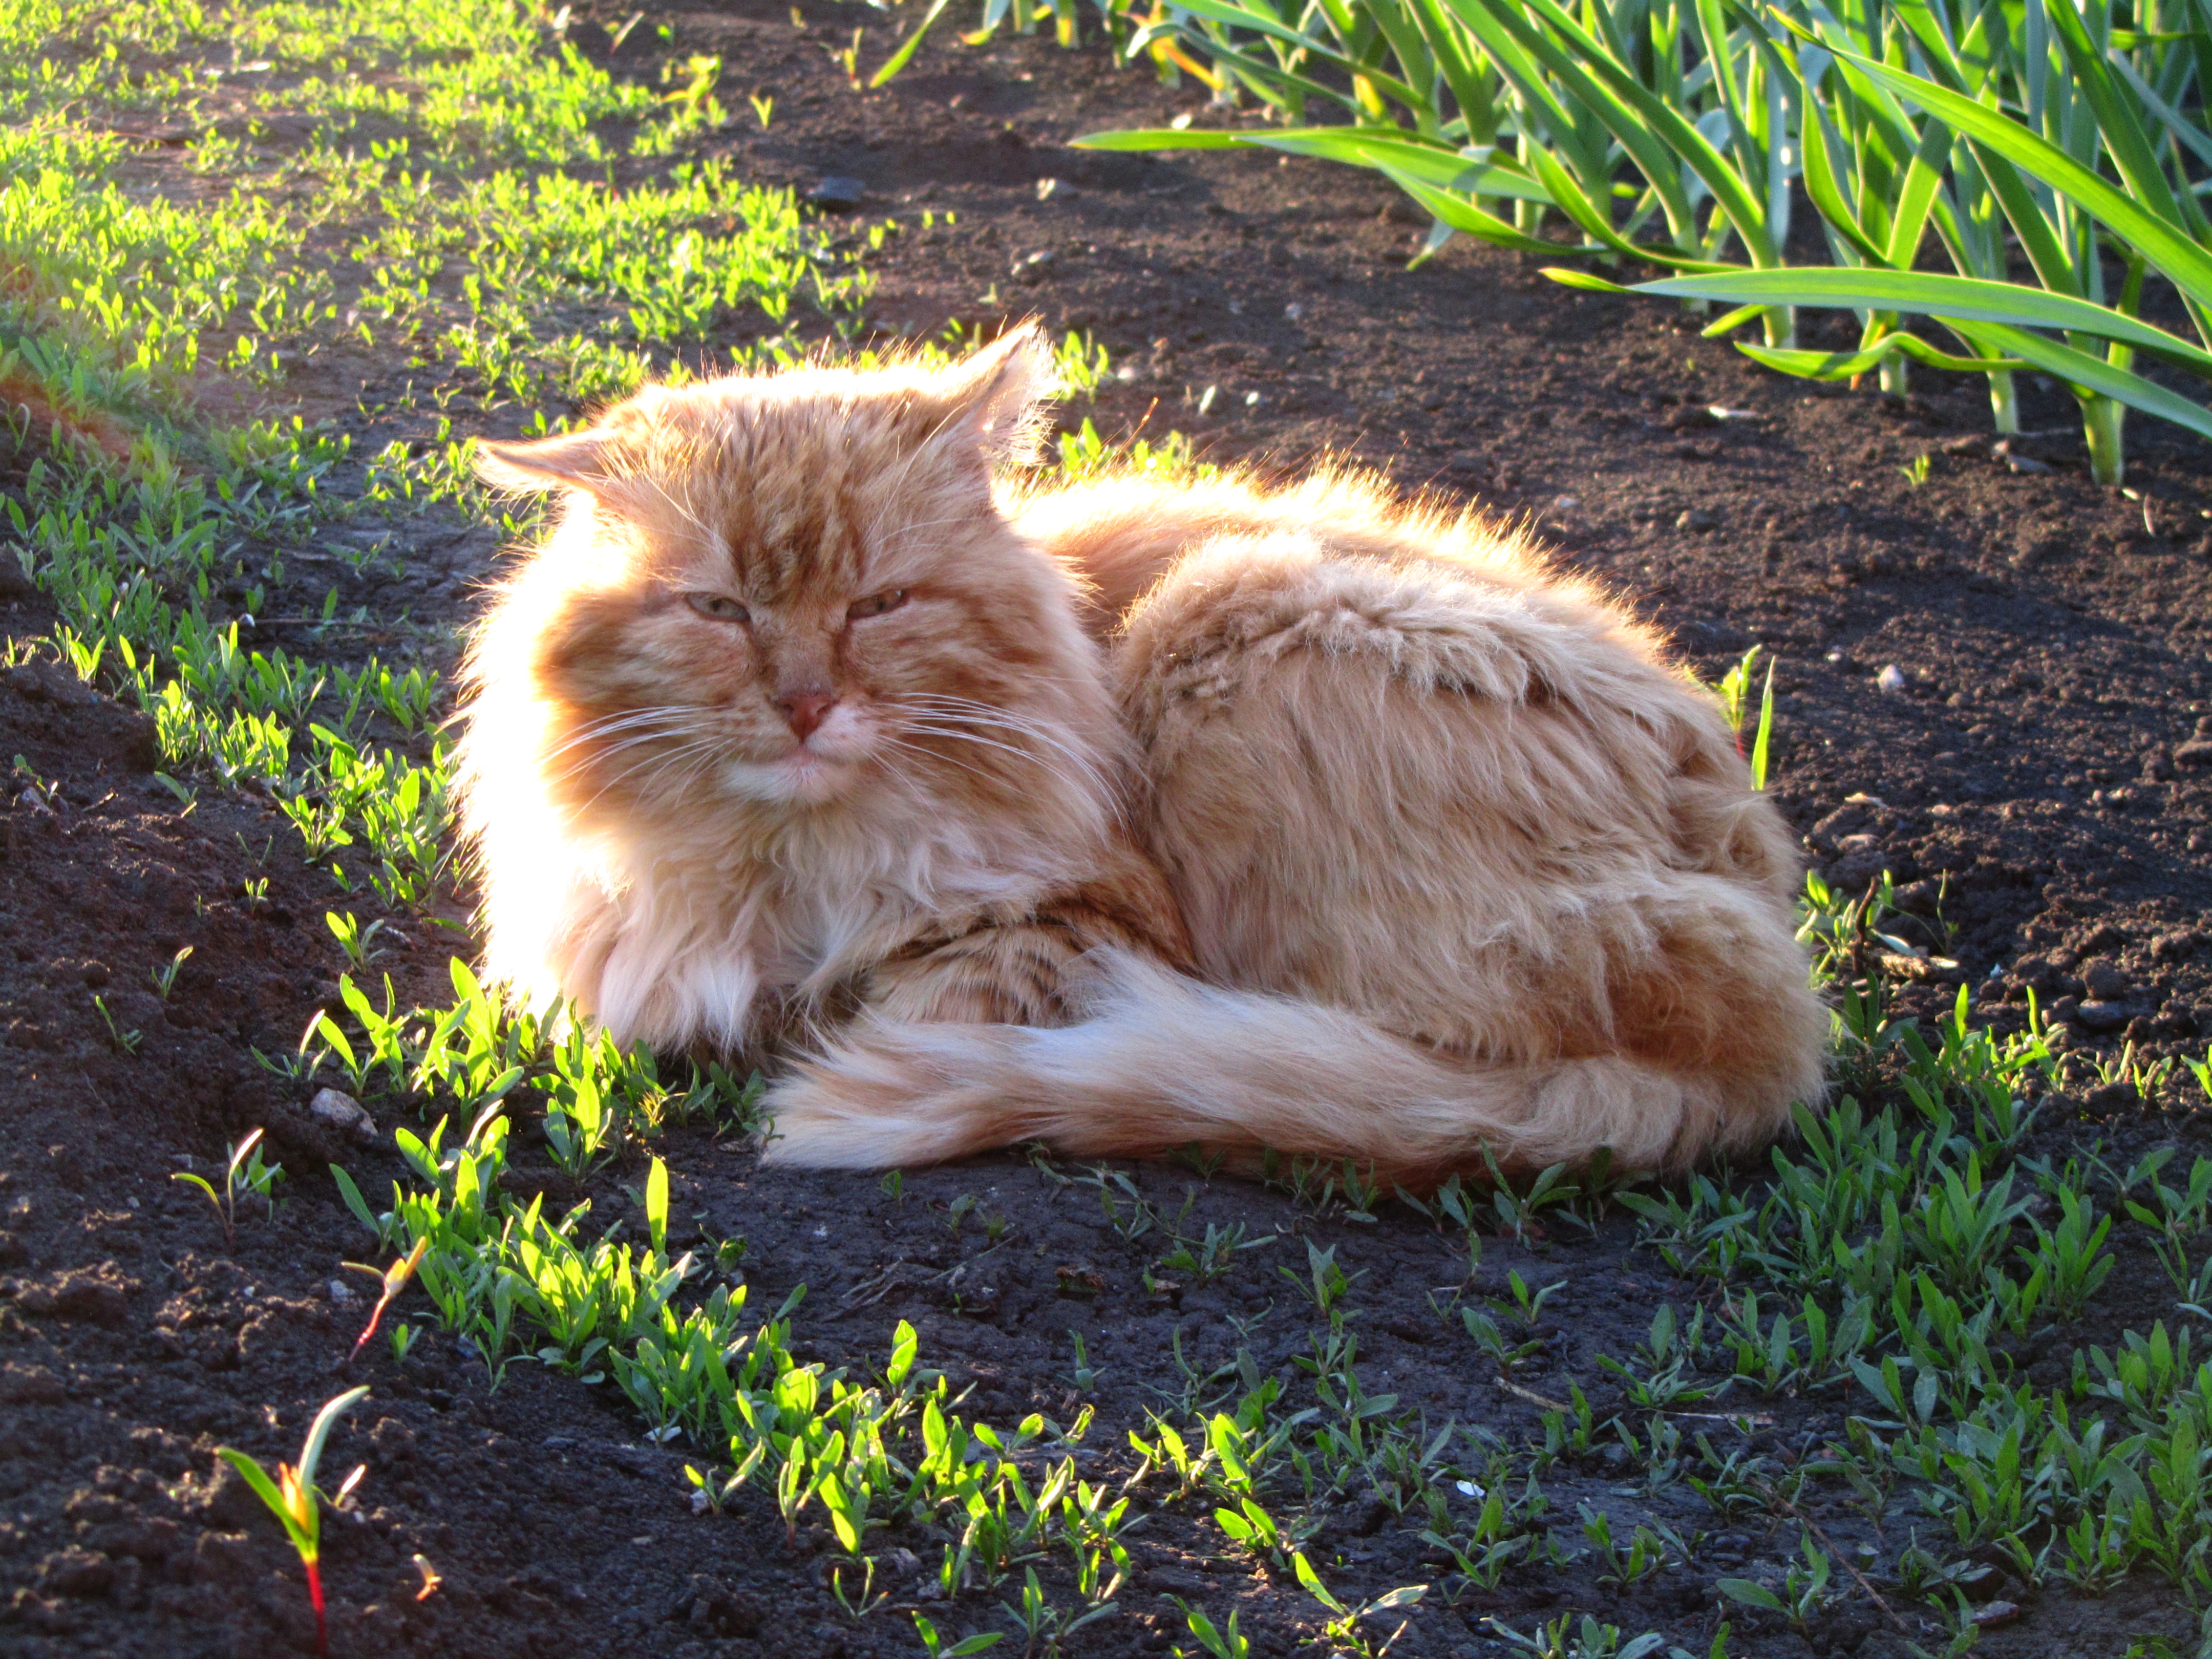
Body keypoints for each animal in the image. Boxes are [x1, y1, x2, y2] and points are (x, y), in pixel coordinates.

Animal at [458, 327, 1822, 1185]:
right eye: (721, 611)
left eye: (881, 604)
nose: (804, 704)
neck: (791, 875)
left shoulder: (1071, 932)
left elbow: (911, 1002)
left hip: (1233, 611)